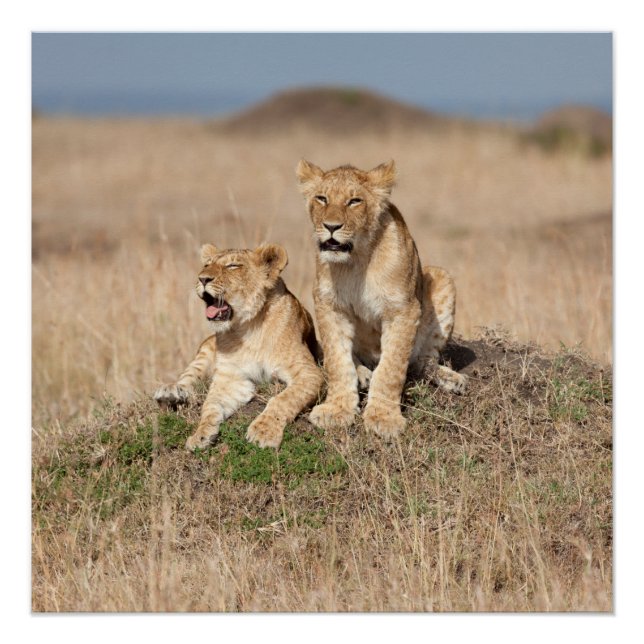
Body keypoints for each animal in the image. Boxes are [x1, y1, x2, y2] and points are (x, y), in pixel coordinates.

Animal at [154, 242, 323, 450]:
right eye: (207, 265)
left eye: (232, 266)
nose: (202, 278)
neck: (248, 327)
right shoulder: (231, 378)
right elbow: (210, 405)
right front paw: (200, 435)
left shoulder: (309, 372)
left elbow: (284, 398)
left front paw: (263, 432)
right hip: (205, 348)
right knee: (189, 377)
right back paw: (170, 392)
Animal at [295, 159, 467, 440]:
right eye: (322, 198)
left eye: (354, 201)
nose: (331, 227)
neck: (356, 260)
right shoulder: (330, 306)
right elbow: (337, 360)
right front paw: (336, 410)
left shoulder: (403, 310)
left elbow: (391, 368)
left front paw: (383, 418)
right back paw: (362, 373)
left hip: (442, 278)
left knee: (422, 361)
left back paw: (451, 379)